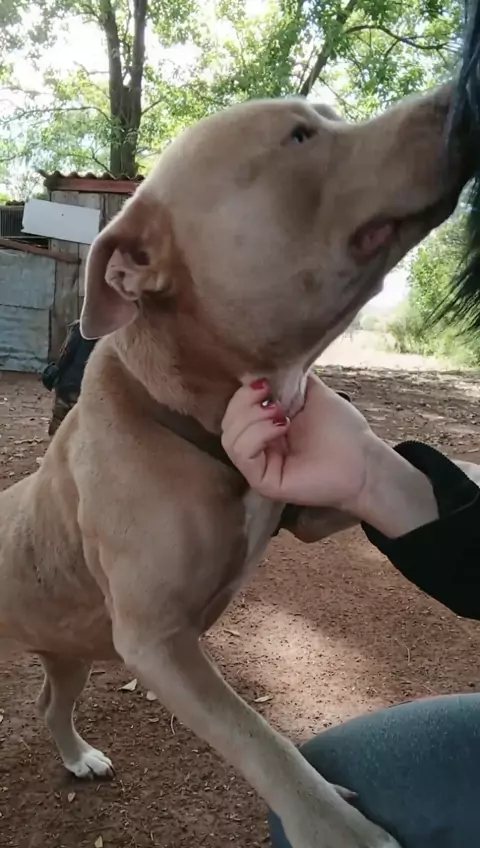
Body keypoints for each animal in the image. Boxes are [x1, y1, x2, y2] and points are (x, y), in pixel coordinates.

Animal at [0, 85, 472, 848]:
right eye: (299, 137)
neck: (184, 410)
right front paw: (333, 825)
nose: (457, 95)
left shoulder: (307, 503)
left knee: (51, 701)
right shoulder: (159, 642)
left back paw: (77, 756)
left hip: (67, 648)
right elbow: (260, 739)